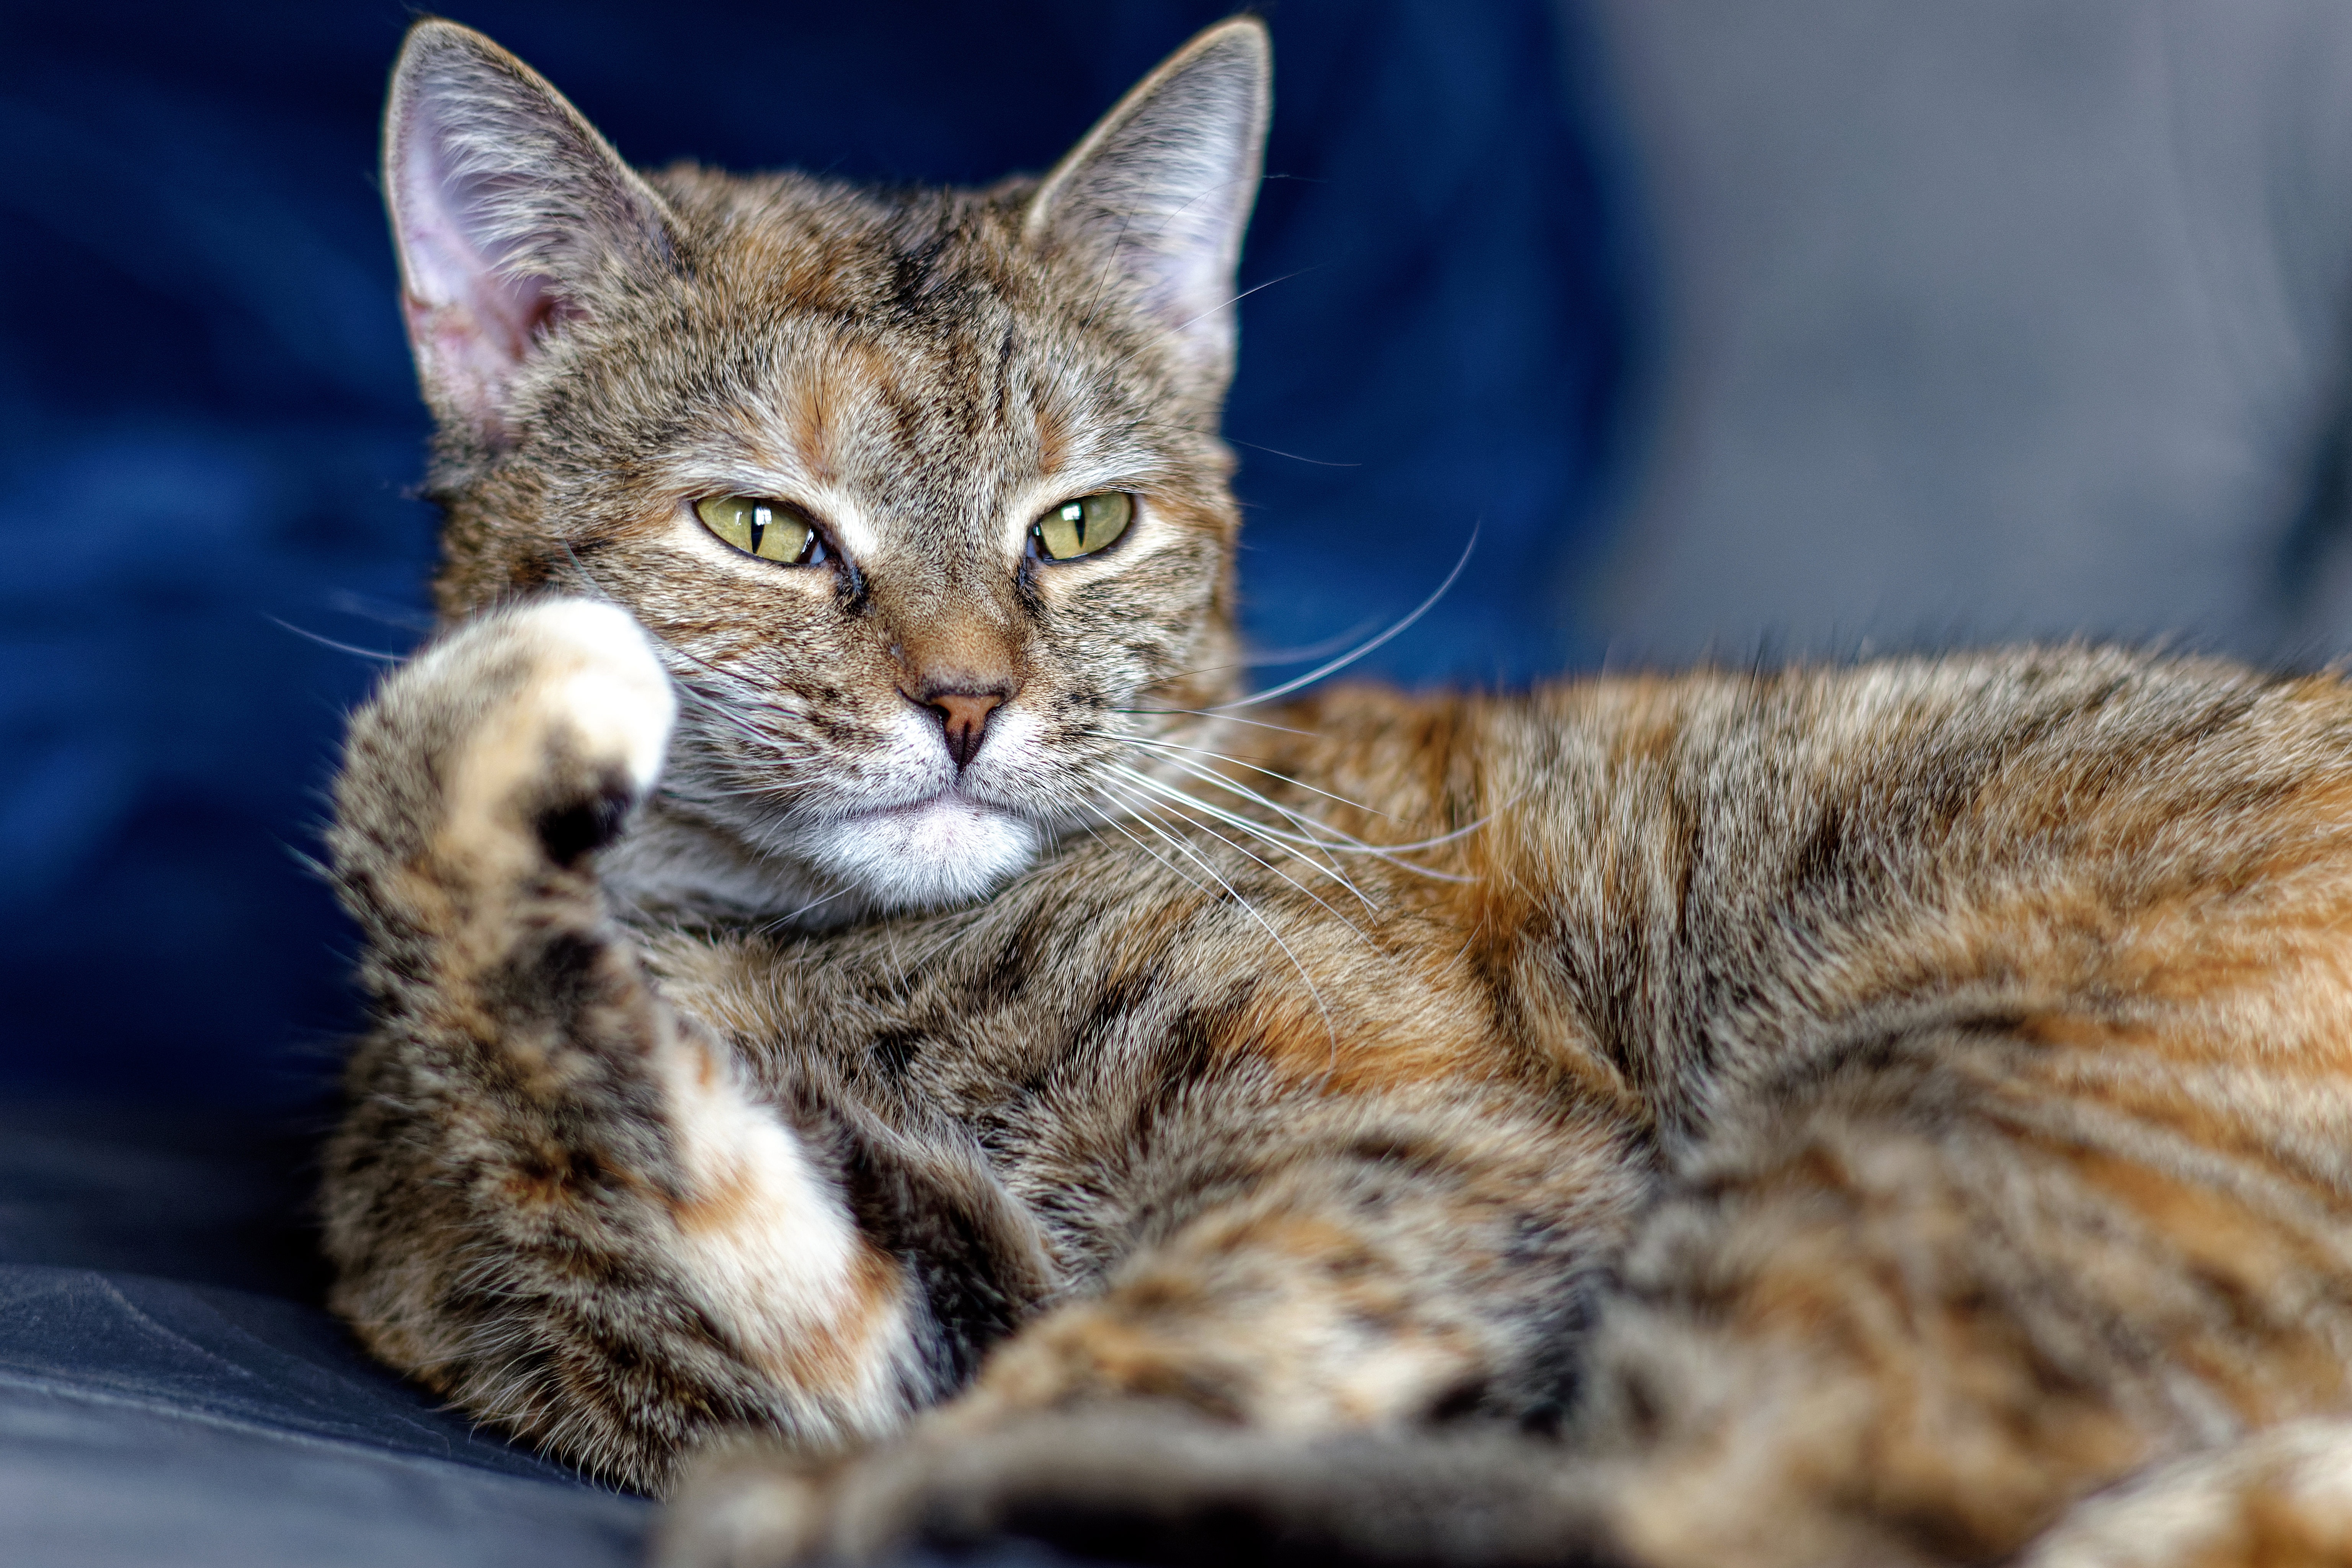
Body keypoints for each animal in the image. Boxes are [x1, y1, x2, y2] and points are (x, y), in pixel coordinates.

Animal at [327, 15, 2352, 1568]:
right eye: (760, 527)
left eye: (1084, 524)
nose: (968, 699)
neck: (802, 949)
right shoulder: (795, 1316)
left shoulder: (1412, 1147)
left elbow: (1138, 1339)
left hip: (1930, 1068)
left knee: (1705, 1513)